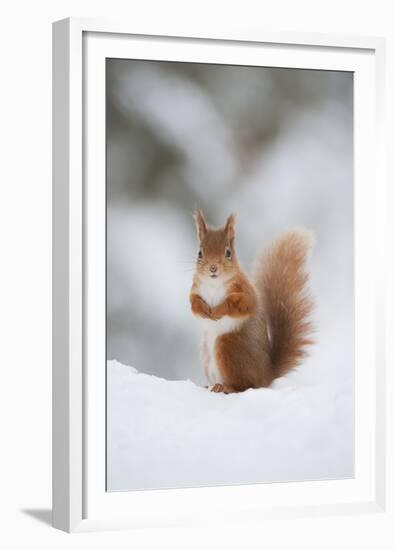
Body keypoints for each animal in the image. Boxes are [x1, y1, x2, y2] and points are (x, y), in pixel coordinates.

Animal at [190, 209, 314, 394]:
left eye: (228, 253)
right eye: (200, 253)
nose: (213, 268)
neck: (214, 283)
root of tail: (266, 376)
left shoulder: (246, 292)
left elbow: (240, 304)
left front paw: (218, 310)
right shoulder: (195, 289)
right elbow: (193, 304)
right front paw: (204, 311)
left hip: (227, 346)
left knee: (245, 385)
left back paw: (225, 386)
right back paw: (209, 385)